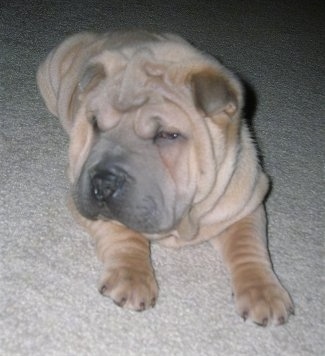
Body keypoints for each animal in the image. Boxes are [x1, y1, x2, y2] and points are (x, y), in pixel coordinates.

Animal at [36, 30, 292, 326]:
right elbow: (123, 232)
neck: (185, 222)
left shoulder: (245, 202)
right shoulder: (80, 193)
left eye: (167, 135)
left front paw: (263, 293)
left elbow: (248, 245)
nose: (103, 181)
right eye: (96, 123)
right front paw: (132, 278)